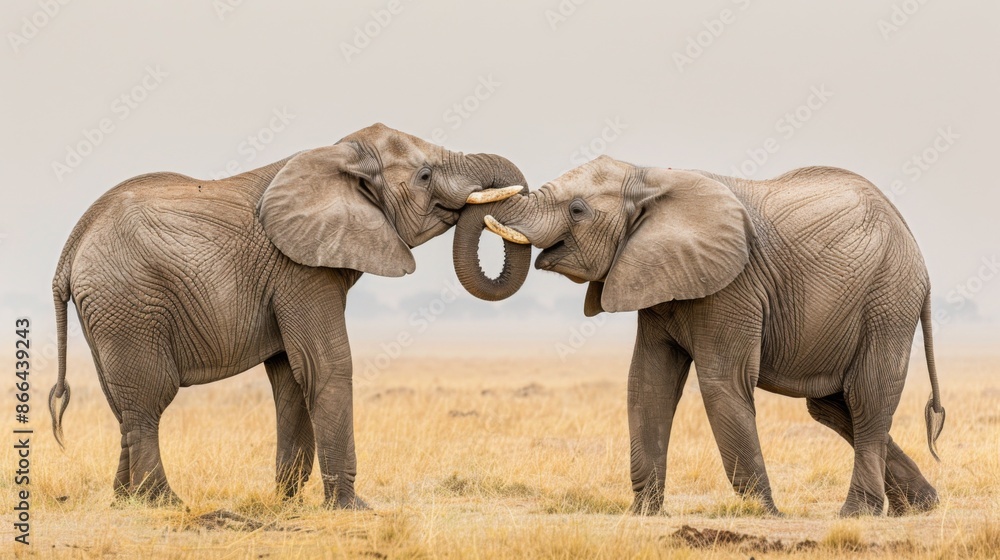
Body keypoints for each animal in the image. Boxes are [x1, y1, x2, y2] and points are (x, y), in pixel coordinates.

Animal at [48, 123, 532, 508]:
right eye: (425, 175)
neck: (340, 154)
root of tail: (70, 251)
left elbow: (292, 376)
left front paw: (288, 502)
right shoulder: (299, 269)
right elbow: (326, 365)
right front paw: (351, 508)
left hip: (109, 313)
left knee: (123, 406)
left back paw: (123, 500)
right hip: (129, 305)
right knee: (149, 401)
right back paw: (163, 503)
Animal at [477, 156, 945, 517]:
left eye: (577, 210)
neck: (649, 176)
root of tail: (916, 249)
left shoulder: (732, 287)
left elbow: (722, 384)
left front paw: (766, 515)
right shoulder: (655, 276)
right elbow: (647, 383)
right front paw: (645, 515)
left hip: (888, 299)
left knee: (866, 397)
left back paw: (857, 514)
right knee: (832, 405)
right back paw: (921, 505)